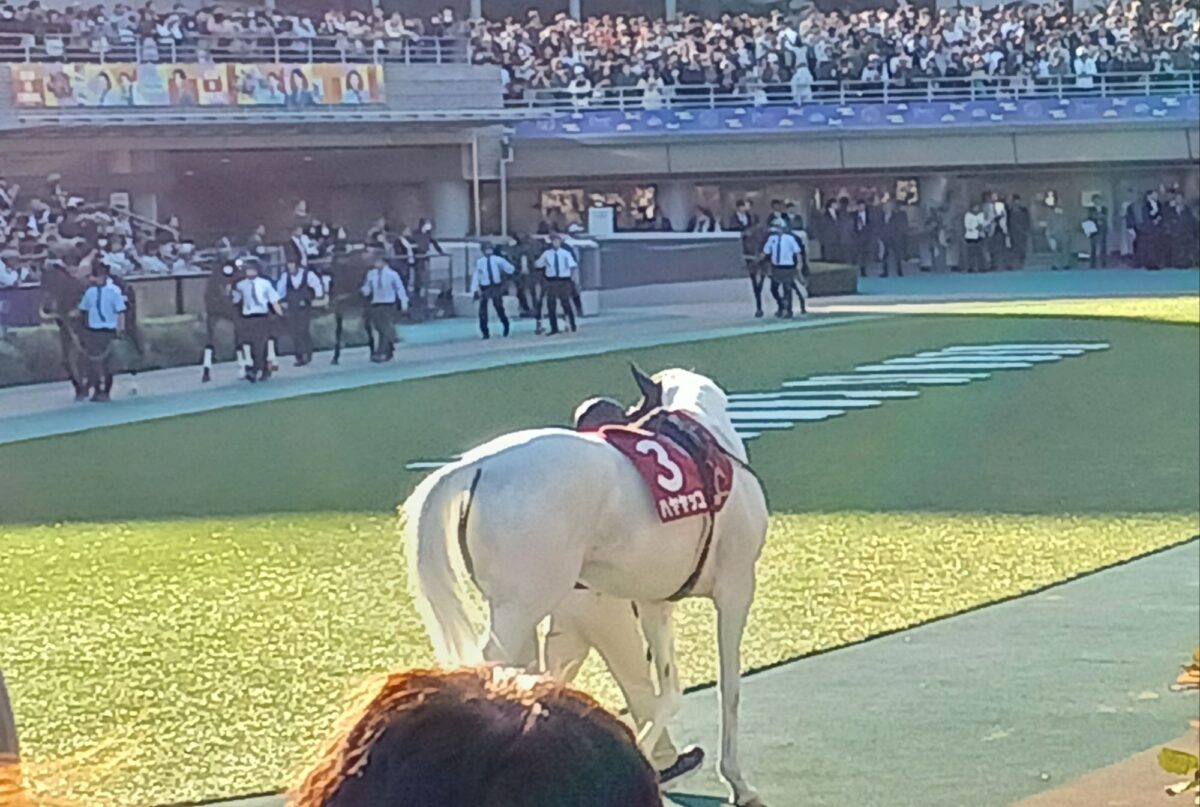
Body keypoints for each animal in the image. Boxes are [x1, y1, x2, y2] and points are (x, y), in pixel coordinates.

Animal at [398, 367, 763, 806]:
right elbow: (730, 689)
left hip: (517, 609)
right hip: (521, 607)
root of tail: (474, 466)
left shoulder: (655, 600)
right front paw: (739, 784)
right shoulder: (736, 587)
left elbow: (670, 690)